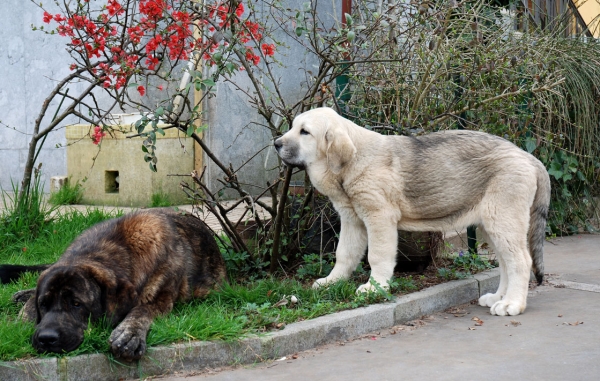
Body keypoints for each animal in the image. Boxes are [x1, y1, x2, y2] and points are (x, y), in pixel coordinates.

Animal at [0, 208, 225, 360]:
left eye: (77, 304)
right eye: (44, 304)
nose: (46, 338)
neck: (103, 251)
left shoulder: (160, 298)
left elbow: (142, 310)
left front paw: (129, 333)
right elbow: (29, 309)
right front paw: (23, 316)